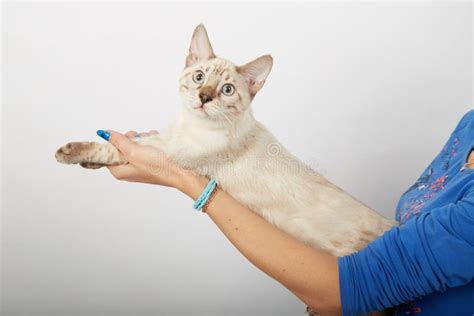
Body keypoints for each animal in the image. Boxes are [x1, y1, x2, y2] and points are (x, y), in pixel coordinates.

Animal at [55, 22, 396, 266]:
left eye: (227, 90)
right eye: (199, 77)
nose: (204, 97)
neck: (188, 126)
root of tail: (393, 224)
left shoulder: (166, 152)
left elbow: (116, 146)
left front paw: (69, 152)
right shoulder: (163, 138)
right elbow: (128, 140)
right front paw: (87, 161)